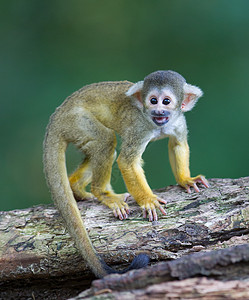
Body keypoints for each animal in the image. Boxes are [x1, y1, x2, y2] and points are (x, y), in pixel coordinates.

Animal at [43, 69, 208, 276]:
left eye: (166, 101)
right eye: (153, 100)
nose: (158, 111)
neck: (158, 124)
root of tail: (58, 114)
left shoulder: (178, 121)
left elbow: (177, 144)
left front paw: (186, 180)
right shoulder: (139, 127)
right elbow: (127, 162)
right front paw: (148, 201)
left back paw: (76, 187)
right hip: (76, 121)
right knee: (106, 140)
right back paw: (103, 193)